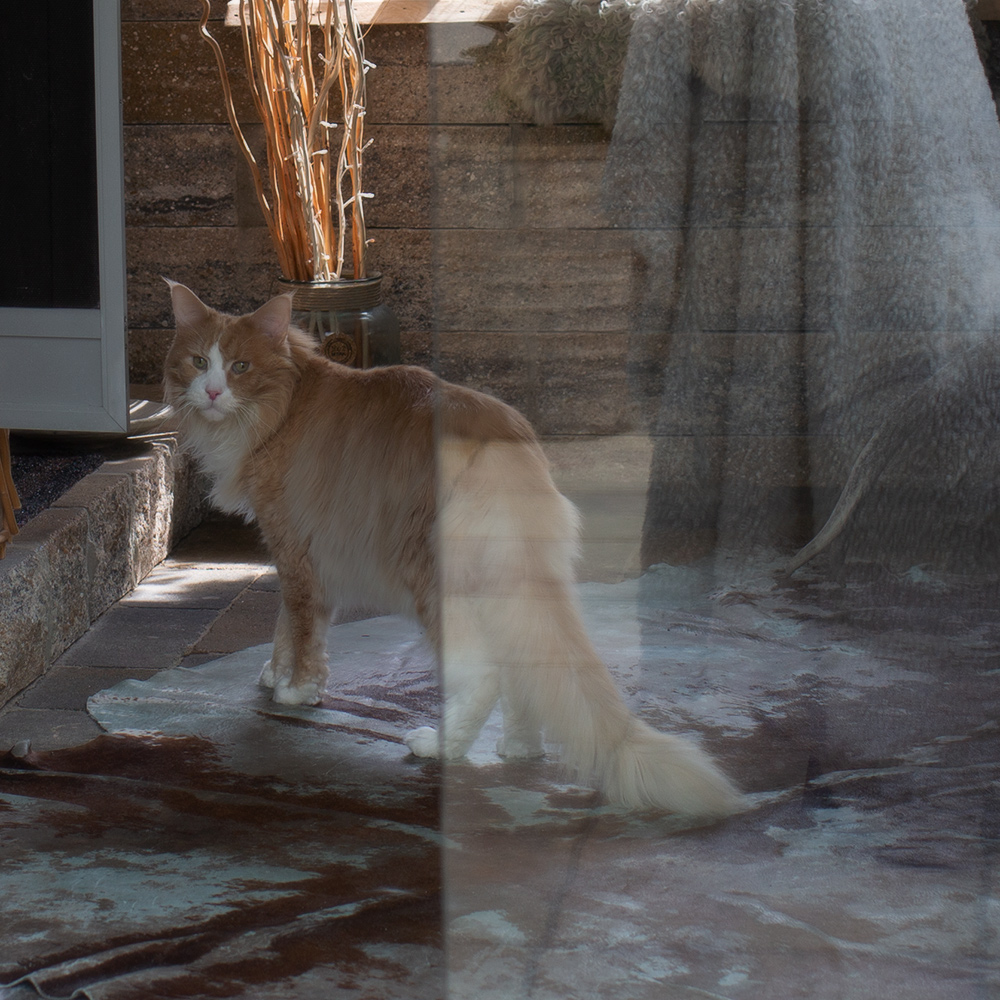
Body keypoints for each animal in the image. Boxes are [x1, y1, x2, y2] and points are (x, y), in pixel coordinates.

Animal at [163, 280, 741, 819]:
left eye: (239, 367)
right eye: (199, 362)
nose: (211, 392)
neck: (286, 401)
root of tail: (500, 433)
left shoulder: (296, 545)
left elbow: (302, 627)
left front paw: (294, 690)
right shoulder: (300, 552)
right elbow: (287, 624)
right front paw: (274, 674)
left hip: (430, 577)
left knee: (484, 675)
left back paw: (441, 746)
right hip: (502, 580)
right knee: (519, 664)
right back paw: (519, 747)